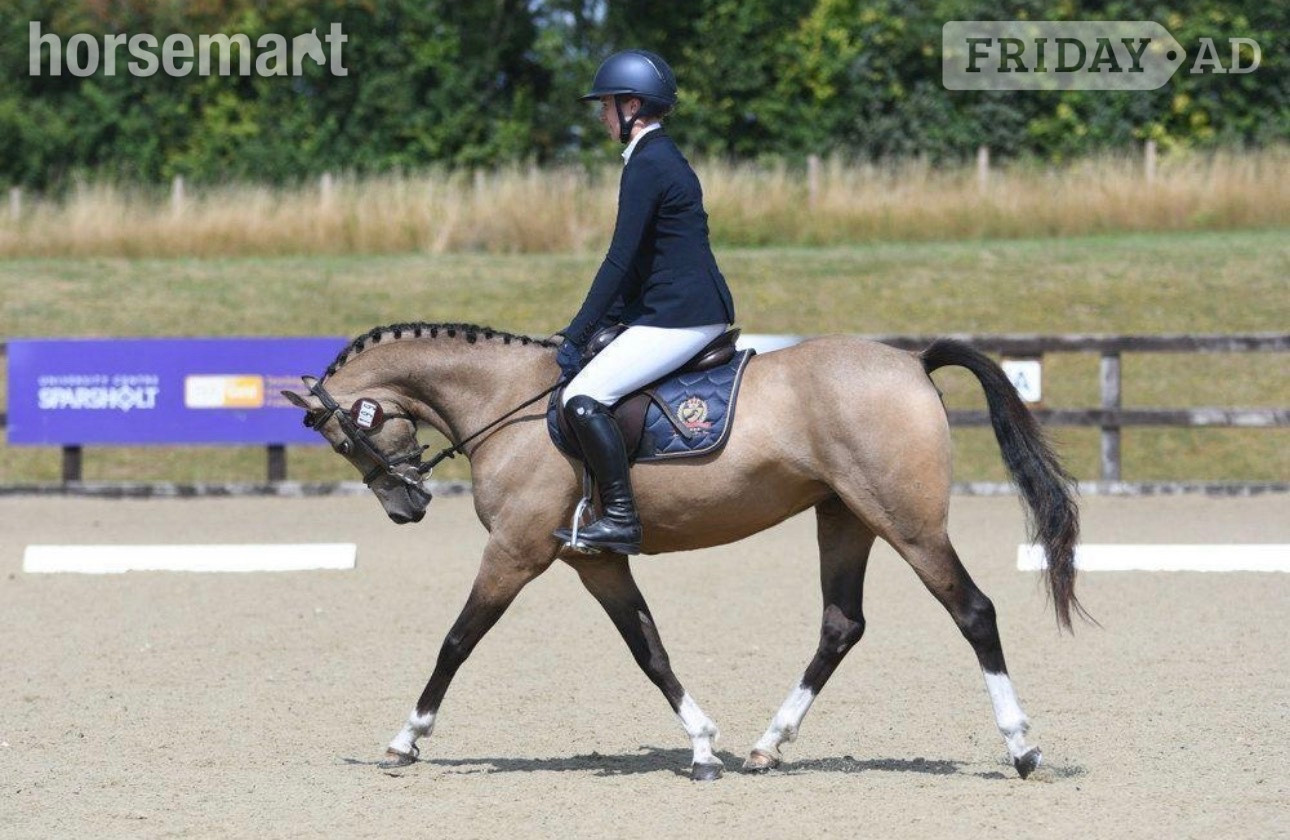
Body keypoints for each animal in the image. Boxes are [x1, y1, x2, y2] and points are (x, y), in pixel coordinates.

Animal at [281, 321, 1083, 782]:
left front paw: (406, 739)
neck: (506, 404)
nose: (406, 507)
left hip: (907, 522)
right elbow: (649, 649)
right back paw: (767, 746)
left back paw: (1023, 750)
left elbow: (456, 640)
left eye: (339, 436)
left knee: (973, 612)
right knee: (841, 625)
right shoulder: (595, 559)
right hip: (844, 517)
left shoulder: (515, 551)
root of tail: (912, 364)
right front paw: (702, 745)